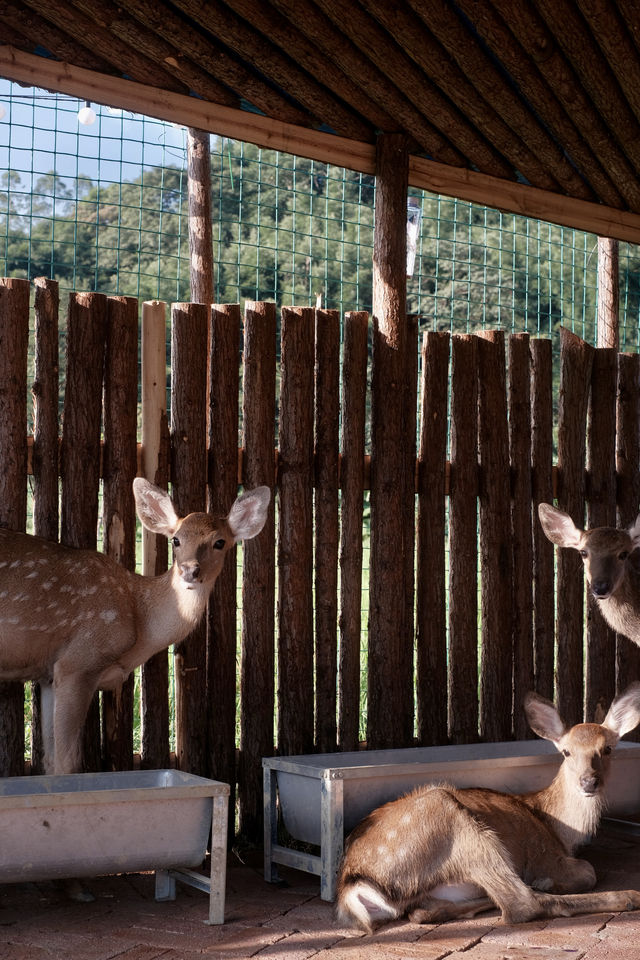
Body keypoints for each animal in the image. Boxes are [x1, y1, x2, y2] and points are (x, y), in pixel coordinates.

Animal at [0, 476, 270, 776]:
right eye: (176, 539)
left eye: (220, 542)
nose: (190, 570)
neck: (140, 621)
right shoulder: (79, 660)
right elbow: (67, 763)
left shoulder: (48, 674)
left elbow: (48, 760)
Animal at [336, 688, 640, 932]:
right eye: (566, 752)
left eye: (608, 749)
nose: (589, 782)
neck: (558, 828)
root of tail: (353, 883)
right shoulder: (545, 856)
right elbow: (588, 871)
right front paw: (549, 881)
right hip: (456, 823)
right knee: (521, 905)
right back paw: (628, 896)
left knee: (424, 910)